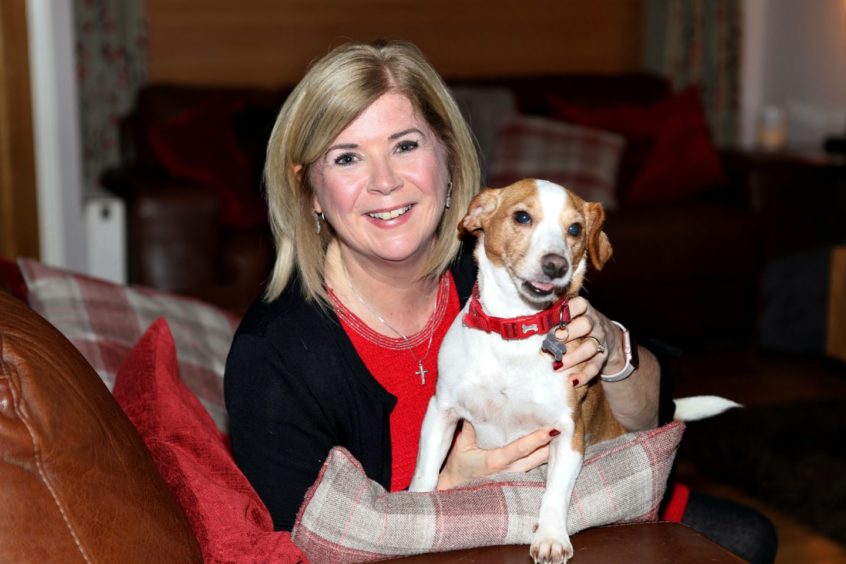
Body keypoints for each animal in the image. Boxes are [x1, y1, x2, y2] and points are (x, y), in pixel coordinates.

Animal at [410, 181, 736, 564]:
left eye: (576, 229)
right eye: (522, 217)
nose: (556, 265)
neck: (516, 332)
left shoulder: (568, 433)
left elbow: (555, 493)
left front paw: (551, 536)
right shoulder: (441, 413)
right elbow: (426, 471)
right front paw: (417, 508)